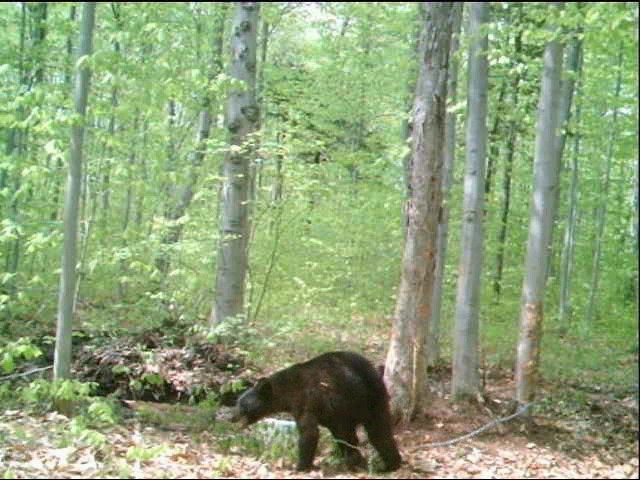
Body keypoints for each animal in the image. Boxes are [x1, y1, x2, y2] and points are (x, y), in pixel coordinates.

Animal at [232, 350, 400, 470]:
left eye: (241, 405)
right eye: (238, 402)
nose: (231, 417)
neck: (286, 391)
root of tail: (366, 377)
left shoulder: (305, 401)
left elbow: (309, 432)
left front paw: (300, 467)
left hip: (349, 402)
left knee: (359, 432)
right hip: (376, 399)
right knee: (379, 431)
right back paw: (390, 464)